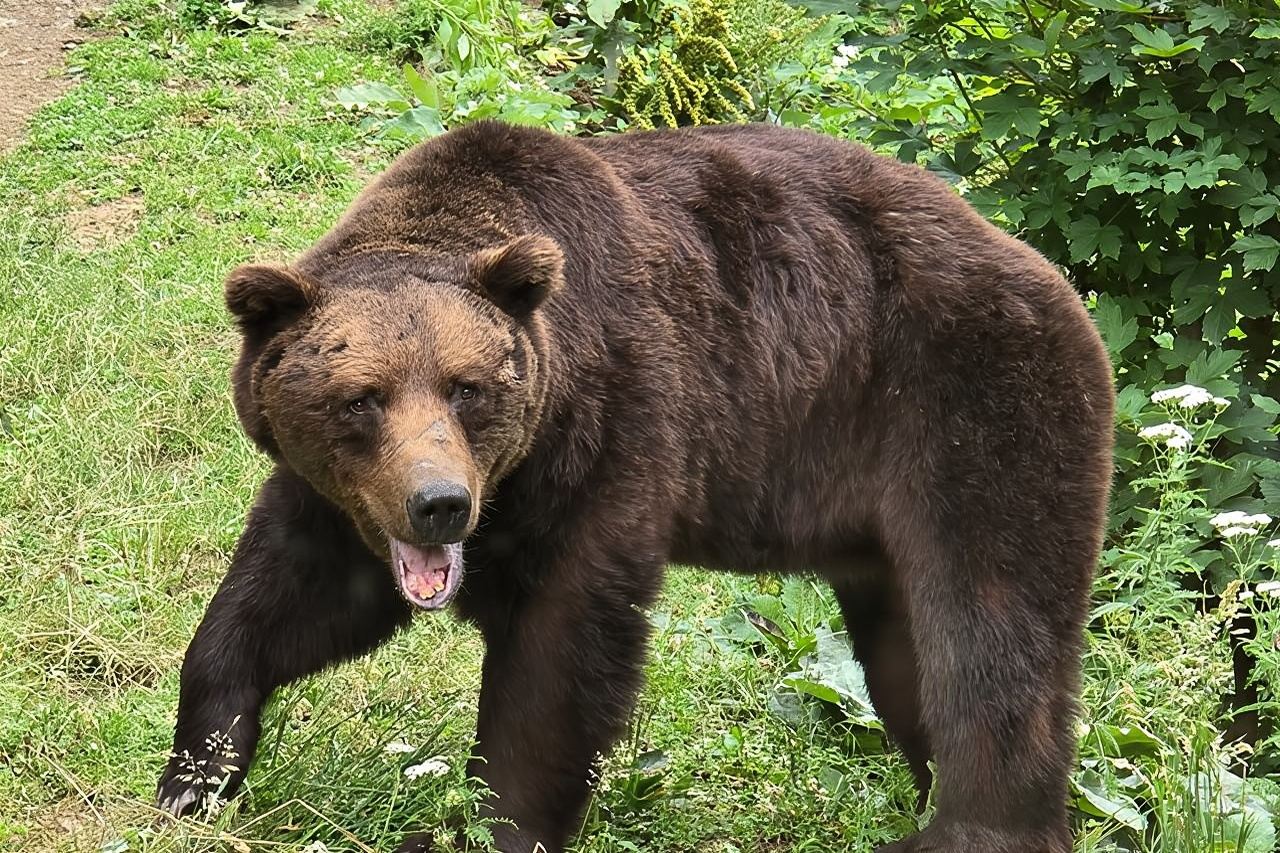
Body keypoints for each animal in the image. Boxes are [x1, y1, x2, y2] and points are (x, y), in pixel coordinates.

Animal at [157, 120, 1114, 853]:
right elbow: (277, 606)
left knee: (988, 631)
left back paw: (973, 828)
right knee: (905, 653)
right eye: (361, 397)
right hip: (878, 513)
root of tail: (1052, 276)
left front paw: (495, 822)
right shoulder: (339, 502)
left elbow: (558, 663)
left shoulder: (608, 438)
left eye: (468, 387)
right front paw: (196, 775)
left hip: (970, 411)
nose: (439, 503)